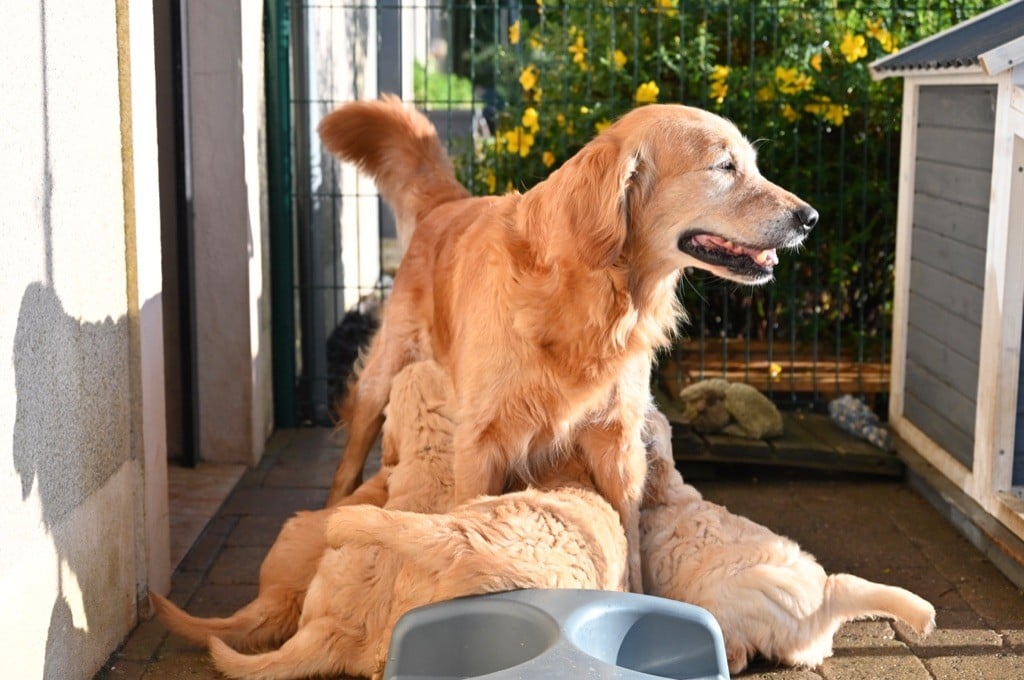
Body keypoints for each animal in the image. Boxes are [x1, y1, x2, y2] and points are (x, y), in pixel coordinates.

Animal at [317, 95, 815, 589]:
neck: (597, 291)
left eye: (752, 165)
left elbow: (631, 548)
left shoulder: (619, 444)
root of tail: (449, 205)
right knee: (351, 453)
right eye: (724, 166)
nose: (810, 218)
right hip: (385, 371)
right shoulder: (479, 443)